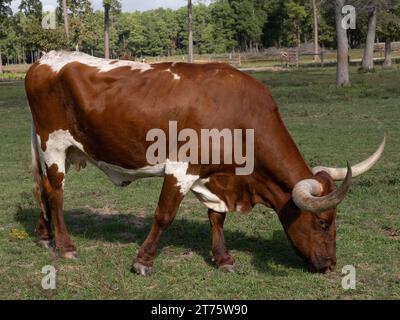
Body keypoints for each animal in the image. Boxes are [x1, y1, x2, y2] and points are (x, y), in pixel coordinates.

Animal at [25, 52, 384, 276]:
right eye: (323, 222)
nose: (330, 264)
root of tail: (44, 59)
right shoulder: (181, 168)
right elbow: (164, 215)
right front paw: (143, 261)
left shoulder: (217, 177)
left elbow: (216, 217)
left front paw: (223, 259)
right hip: (53, 145)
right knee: (55, 194)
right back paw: (66, 246)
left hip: (59, 150)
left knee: (42, 189)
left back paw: (45, 237)